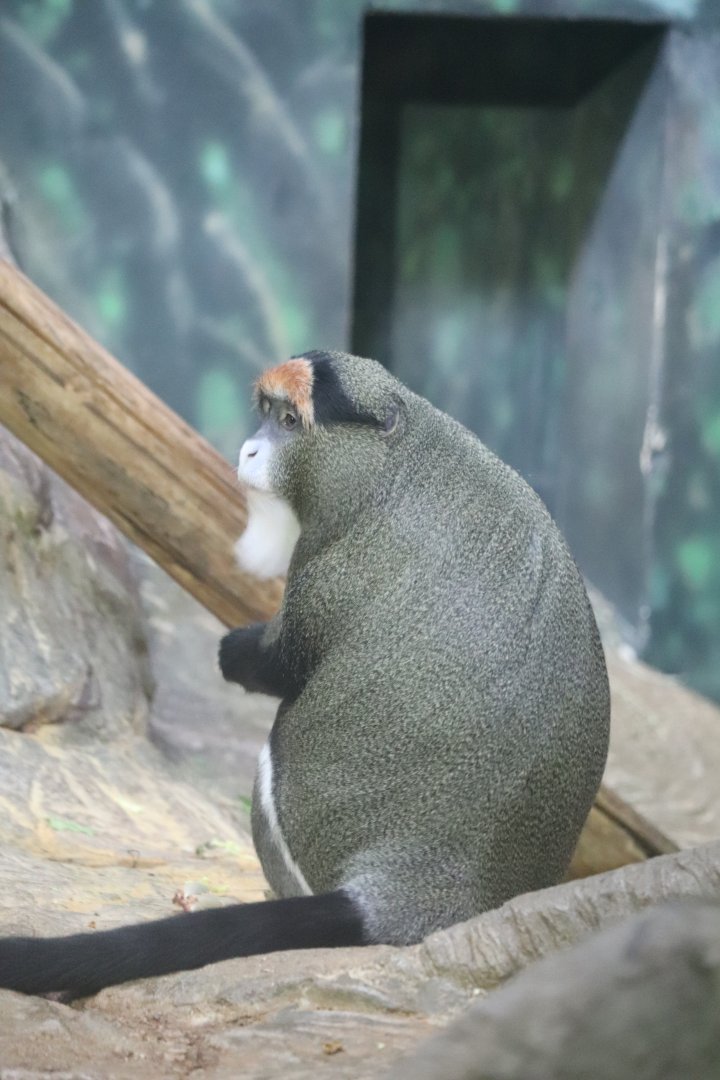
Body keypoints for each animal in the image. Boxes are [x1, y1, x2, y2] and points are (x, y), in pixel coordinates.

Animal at [0, 350, 610, 998]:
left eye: (291, 422)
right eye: (268, 412)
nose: (249, 449)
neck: (400, 458)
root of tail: (423, 893)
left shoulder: (328, 568)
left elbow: (283, 666)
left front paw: (236, 650)